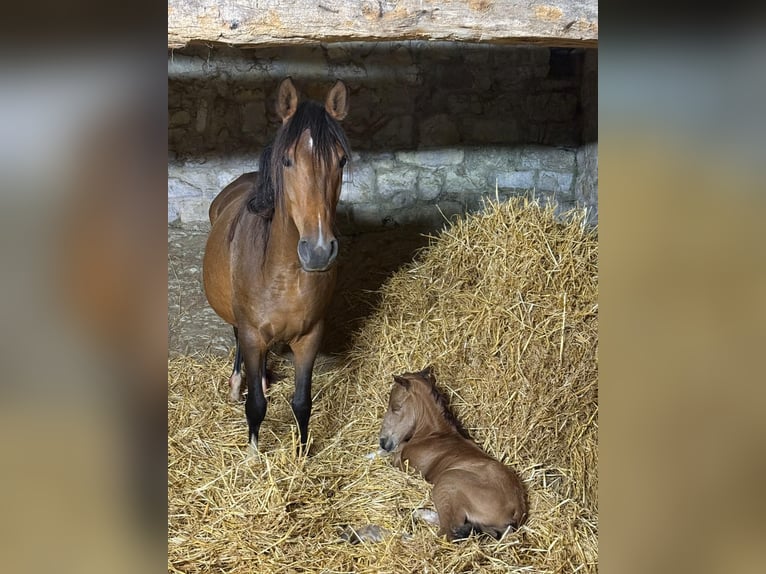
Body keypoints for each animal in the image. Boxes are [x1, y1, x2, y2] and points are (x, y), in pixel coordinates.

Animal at [202, 77, 351, 450]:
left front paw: (303, 453)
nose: (318, 251)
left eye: (341, 161)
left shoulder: (310, 337)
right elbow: (256, 406)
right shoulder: (252, 333)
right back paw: (237, 383)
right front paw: (254, 453)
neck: (284, 275)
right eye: (287, 161)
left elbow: (302, 402)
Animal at [379, 367, 528, 541]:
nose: (383, 441)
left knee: (446, 532)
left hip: (446, 485)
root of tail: (517, 509)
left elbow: (395, 455)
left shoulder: (409, 466)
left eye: (396, 407)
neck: (433, 435)